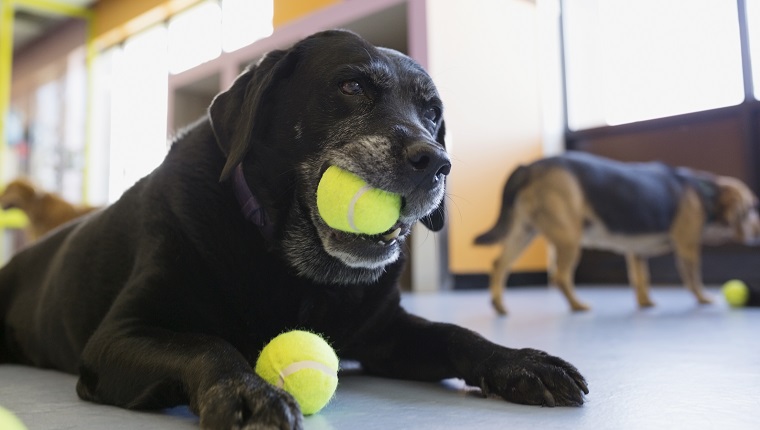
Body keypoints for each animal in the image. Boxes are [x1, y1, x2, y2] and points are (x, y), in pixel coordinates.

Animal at [0, 30, 588, 426]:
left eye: (433, 114)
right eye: (352, 85)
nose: (435, 162)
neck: (290, 266)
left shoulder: (387, 333)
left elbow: (455, 333)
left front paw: (522, 362)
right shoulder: (121, 333)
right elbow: (206, 345)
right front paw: (247, 391)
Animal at [476, 153, 760, 314]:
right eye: (750, 209)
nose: (758, 231)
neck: (705, 193)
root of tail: (530, 166)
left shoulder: (636, 252)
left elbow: (640, 279)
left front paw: (645, 303)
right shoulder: (687, 247)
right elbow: (693, 279)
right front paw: (703, 299)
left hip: (523, 232)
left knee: (499, 265)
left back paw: (499, 305)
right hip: (569, 239)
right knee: (560, 277)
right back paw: (578, 306)